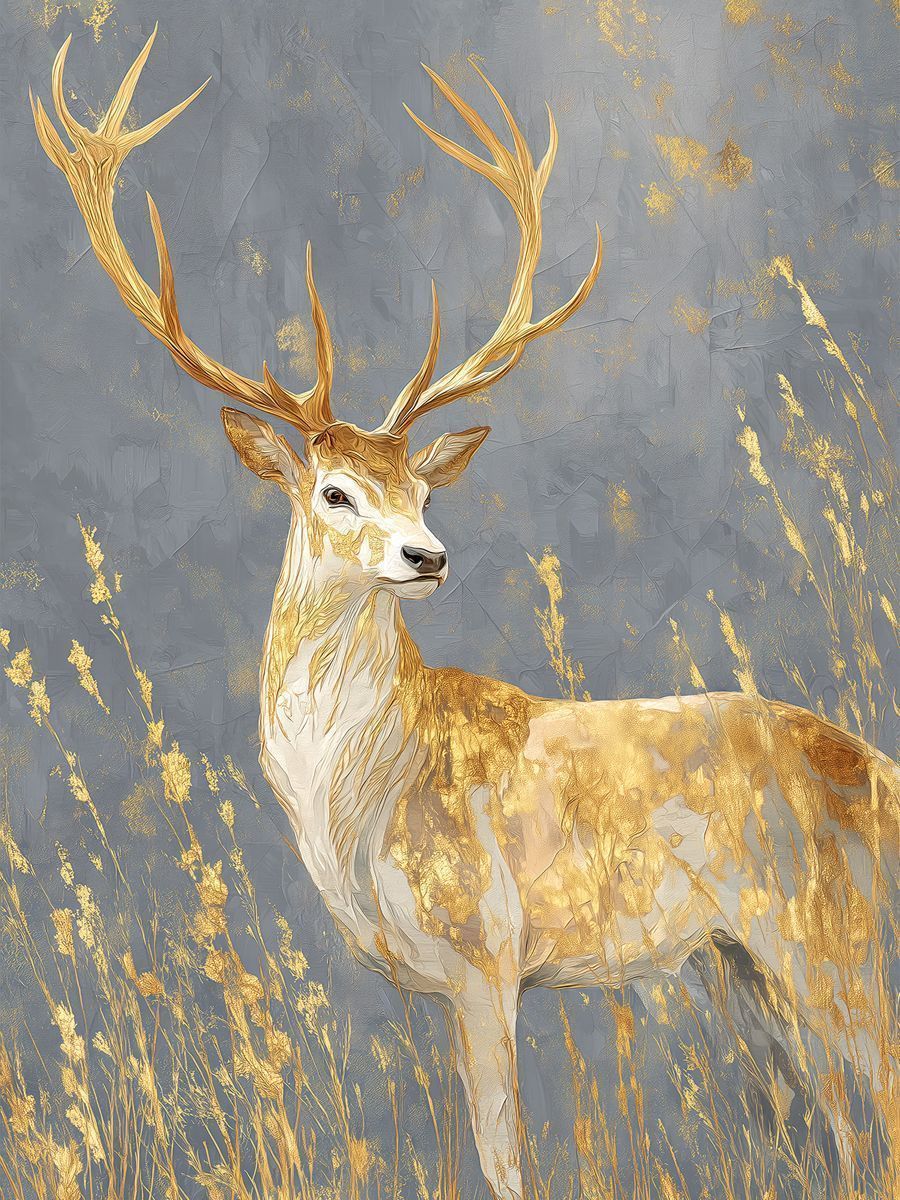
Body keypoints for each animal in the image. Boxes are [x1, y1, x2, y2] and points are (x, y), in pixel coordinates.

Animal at [32, 28, 897, 1200]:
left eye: (426, 493)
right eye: (334, 492)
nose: (428, 556)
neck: (362, 797)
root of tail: (874, 769)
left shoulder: (488, 950)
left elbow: (504, 1158)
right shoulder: (430, 988)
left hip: (825, 932)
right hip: (742, 966)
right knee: (840, 1125)